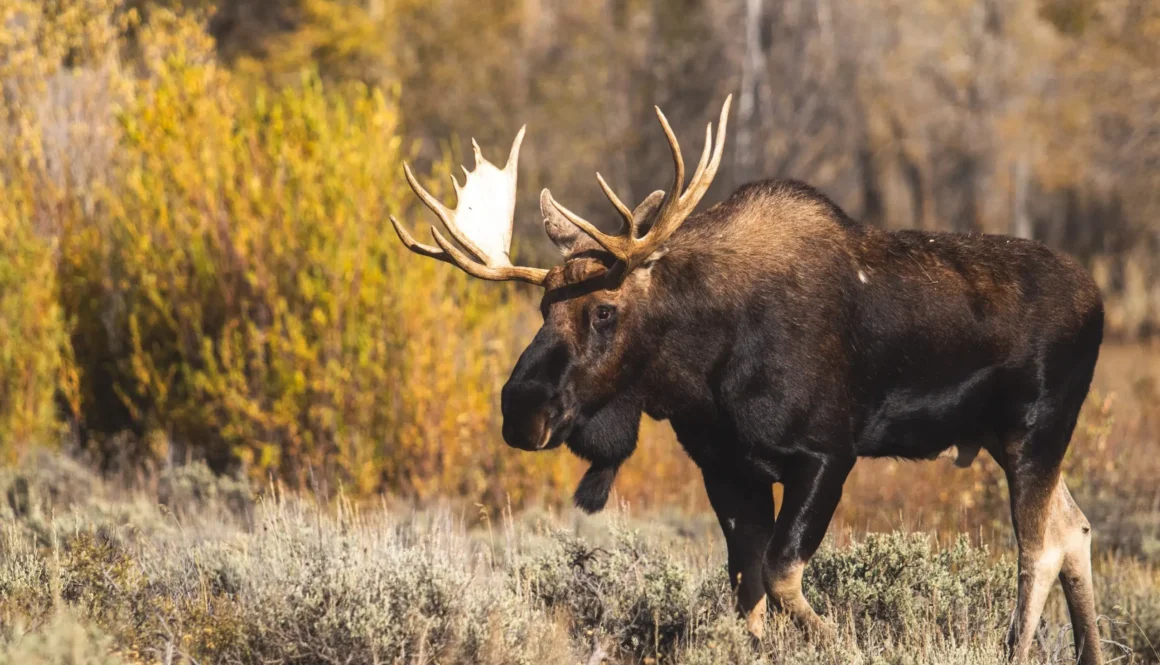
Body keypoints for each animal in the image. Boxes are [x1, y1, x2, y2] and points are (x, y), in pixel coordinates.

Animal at [389, 97, 1105, 665]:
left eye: (604, 310)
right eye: (543, 308)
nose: (520, 409)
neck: (701, 372)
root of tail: (1098, 300)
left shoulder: (826, 454)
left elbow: (782, 575)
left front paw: (844, 644)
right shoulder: (726, 467)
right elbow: (747, 589)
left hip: (1036, 429)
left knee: (1037, 547)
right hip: (1005, 438)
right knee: (1075, 529)